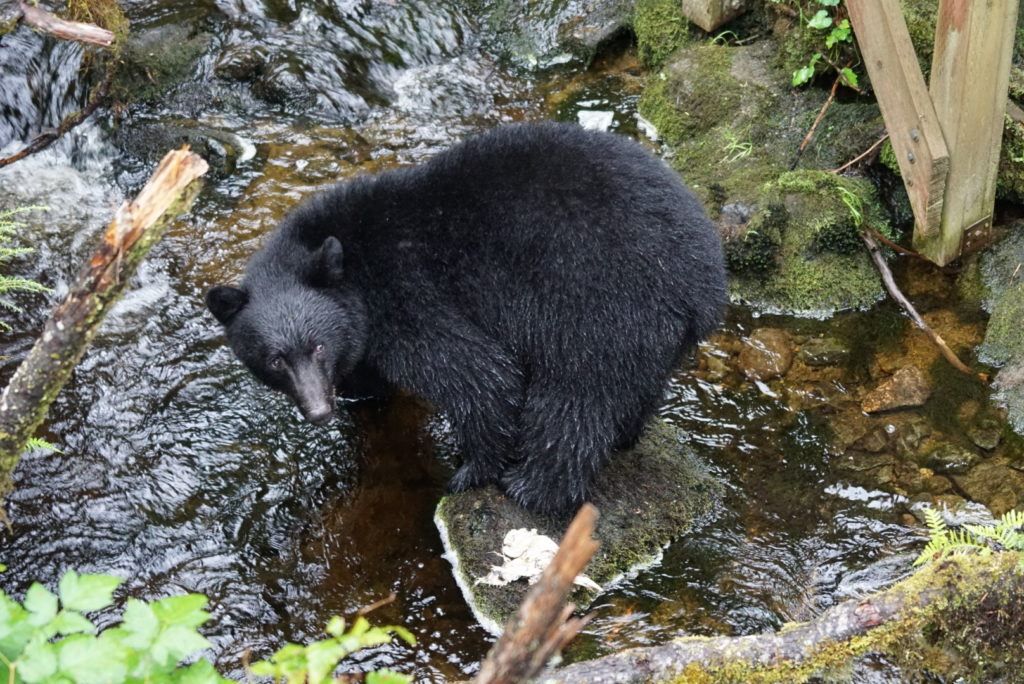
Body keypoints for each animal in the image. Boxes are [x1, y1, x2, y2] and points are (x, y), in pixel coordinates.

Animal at [205, 122, 720, 516]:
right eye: (275, 360)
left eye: (317, 346)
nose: (318, 411)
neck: (352, 266)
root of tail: (704, 278)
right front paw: (361, 397)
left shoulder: (410, 295)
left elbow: (476, 373)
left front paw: (471, 471)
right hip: (648, 327)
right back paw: (624, 438)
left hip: (597, 300)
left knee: (575, 399)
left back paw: (533, 487)